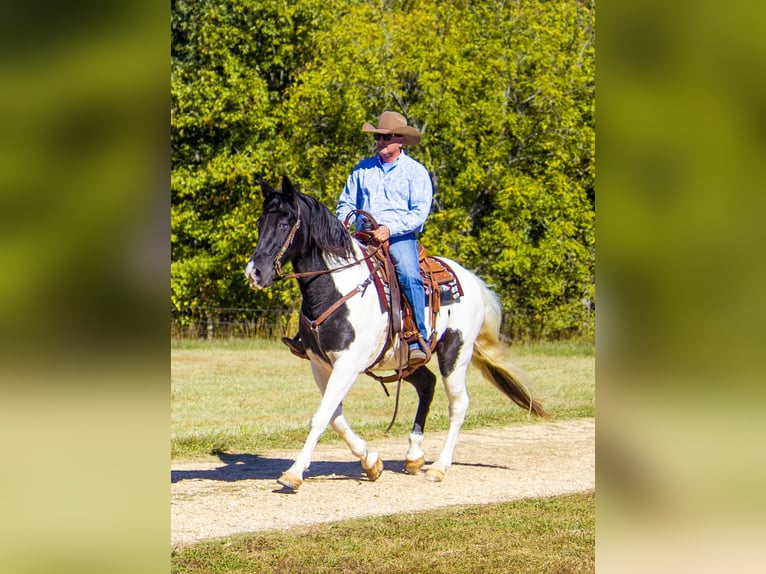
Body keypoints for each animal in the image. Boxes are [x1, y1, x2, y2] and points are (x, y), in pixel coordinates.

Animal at [243, 178, 548, 492]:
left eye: (284, 224)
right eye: (260, 222)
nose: (254, 272)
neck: (337, 290)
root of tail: (472, 280)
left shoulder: (347, 365)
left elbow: (321, 417)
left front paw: (293, 473)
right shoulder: (321, 365)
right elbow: (335, 418)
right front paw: (371, 462)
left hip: (455, 353)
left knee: (458, 404)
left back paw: (438, 467)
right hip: (405, 360)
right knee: (427, 385)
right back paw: (414, 456)